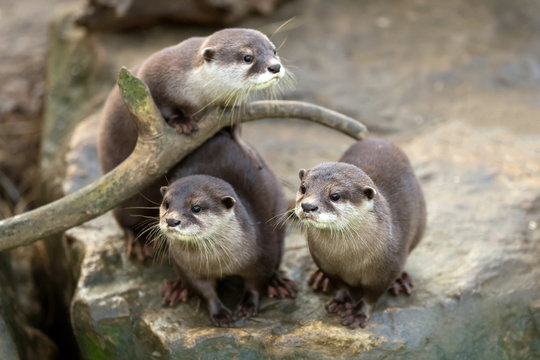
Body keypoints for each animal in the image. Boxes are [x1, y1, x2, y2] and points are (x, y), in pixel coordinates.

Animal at [97, 27, 286, 258]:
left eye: (274, 50)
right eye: (247, 57)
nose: (275, 66)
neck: (198, 93)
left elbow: (234, 128)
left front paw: (246, 148)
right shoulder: (153, 77)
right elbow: (166, 107)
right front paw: (183, 121)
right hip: (124, 199)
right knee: (126, 221)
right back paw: (139, 243)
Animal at [156, 133, 298, 330]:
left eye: (196, 208)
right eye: (167, 204)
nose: (171, 220)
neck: (219, 263)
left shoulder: (264, 254)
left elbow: (256, 283)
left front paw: (248, 305)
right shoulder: (188, 268)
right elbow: (204, 290)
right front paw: (220, 313)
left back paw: (278, 283)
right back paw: (177, 288)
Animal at [296, 139, 426, 330]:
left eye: (335, 195)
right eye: (303, 188)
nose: (307, 206)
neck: (347, 259)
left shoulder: (386, 269)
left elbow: (372, 295)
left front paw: (358, 314)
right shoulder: (325, 262)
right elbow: (339, 284)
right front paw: (341, 301)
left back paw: (401, 280)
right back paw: (320, 278)